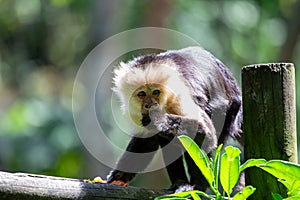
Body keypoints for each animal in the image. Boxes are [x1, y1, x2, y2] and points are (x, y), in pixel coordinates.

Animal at [106, 46, 243, 191]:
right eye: (142, 94)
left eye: (155, 92)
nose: (150, 104)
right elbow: (146, 140)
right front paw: (120, 175)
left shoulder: (180, 94)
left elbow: (206, 135)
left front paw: (159, 120)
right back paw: (179, 182)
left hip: (231, 109)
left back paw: (197, 186)